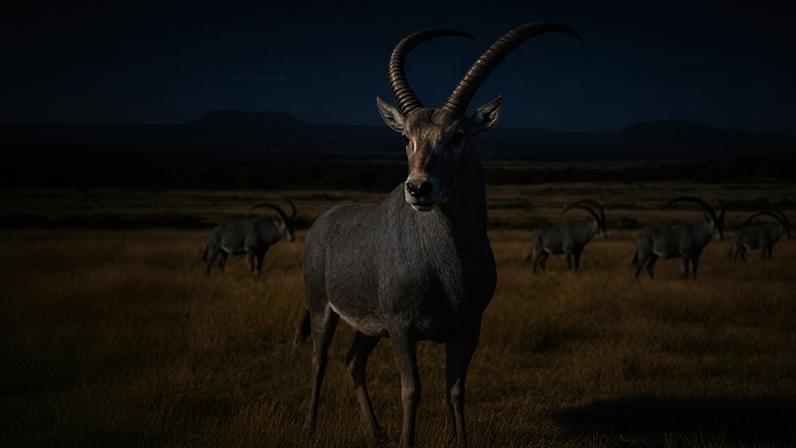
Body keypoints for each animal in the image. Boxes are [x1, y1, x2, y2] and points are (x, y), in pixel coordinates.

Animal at [293, 23, 580, 448]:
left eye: (457, 135)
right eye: (406, 137)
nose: (418, 189)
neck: (446, 267)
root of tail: (323, 222)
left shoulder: (468, 327)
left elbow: (455, 390)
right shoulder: (402, 327)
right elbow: (412, 390)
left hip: (369, 327)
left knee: (354, 360)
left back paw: (375, 432)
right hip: (322, 308)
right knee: (319, 360)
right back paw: (311, 428)